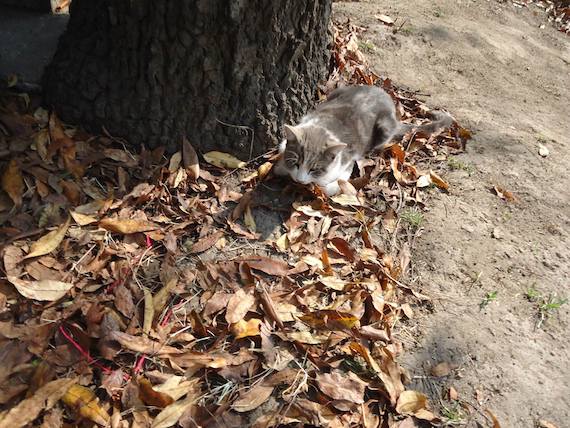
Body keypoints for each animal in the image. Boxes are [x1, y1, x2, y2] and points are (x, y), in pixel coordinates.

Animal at [272, 85, 450, 196]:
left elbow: (335, 182)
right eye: (295, 162)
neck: (324, 127)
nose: (299, 180)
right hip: (338, 91)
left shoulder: (347, 159)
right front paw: (282, 166)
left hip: (384, 127)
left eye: (314, 169)